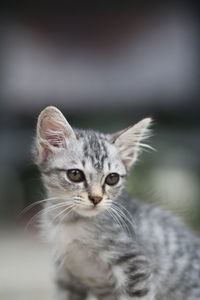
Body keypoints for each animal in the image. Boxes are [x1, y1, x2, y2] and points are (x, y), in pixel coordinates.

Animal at [34, 106, 200, 298]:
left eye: (112, 178)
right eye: (75, 174)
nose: (96, 198)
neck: (69, 223)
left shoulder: (135, 264)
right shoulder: (67, 276)